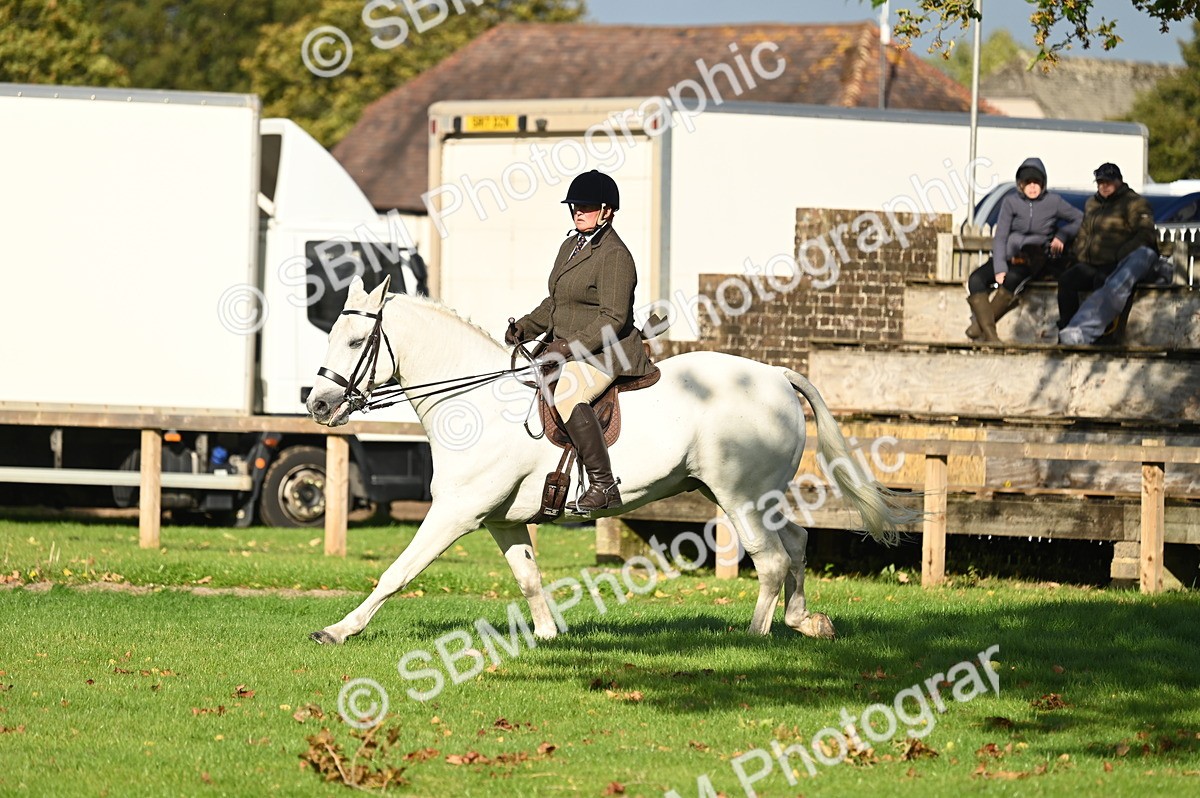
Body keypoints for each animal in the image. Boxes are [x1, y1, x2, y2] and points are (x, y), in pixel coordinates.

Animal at [305, 276, 918, 645]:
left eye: (357, 339)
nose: (317, 404)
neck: (473, 402)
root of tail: (775, 375)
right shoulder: (502, 520)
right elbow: (529, 578)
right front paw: (547, 638)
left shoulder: (456, 513)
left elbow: (397, 572)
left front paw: (338, 630)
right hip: (748, 495)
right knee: (795, 544)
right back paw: (805, 622)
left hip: (740, 494)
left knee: (769, 558)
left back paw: (753, 636)